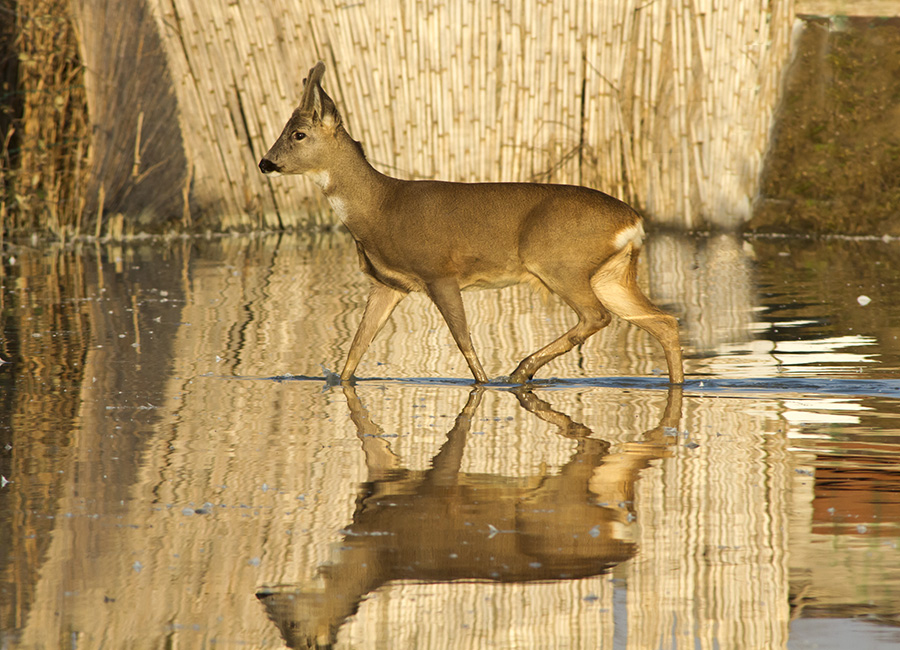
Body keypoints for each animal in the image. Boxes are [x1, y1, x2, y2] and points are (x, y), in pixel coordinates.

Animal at [260, 62, 684, 382]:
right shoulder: (388, 284)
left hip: (561, 263)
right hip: (610, 273)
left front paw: (485, 383)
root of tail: (633, 221)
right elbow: (355, 349)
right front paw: (335, 381)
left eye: (298, 134)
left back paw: (520, 372)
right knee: (663, 320)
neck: (380, 207)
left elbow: (464, 343)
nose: (265, 163)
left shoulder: (439, 272)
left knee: (598, 316)